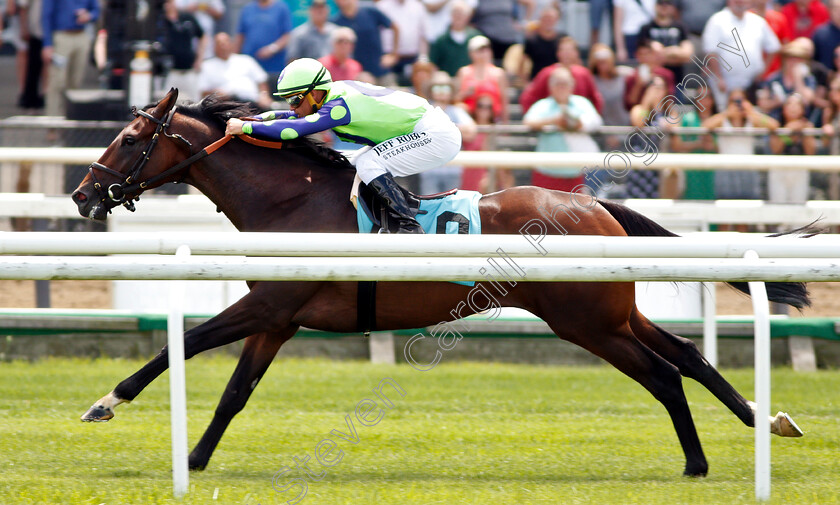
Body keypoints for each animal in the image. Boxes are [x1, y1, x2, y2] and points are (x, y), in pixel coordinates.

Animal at [69, 89, 804, 476]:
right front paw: (194, 459)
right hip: (613, 313)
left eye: (130, 138)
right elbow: (233, 394)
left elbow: (182, 346)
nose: (82, 194)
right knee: (688, 353)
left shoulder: (268, 305)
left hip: (587, 322)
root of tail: (593, 206)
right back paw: (766, 419)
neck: (290, 201)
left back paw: (698, 464)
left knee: (664, 374)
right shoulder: (278, 318)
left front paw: (106, 401)